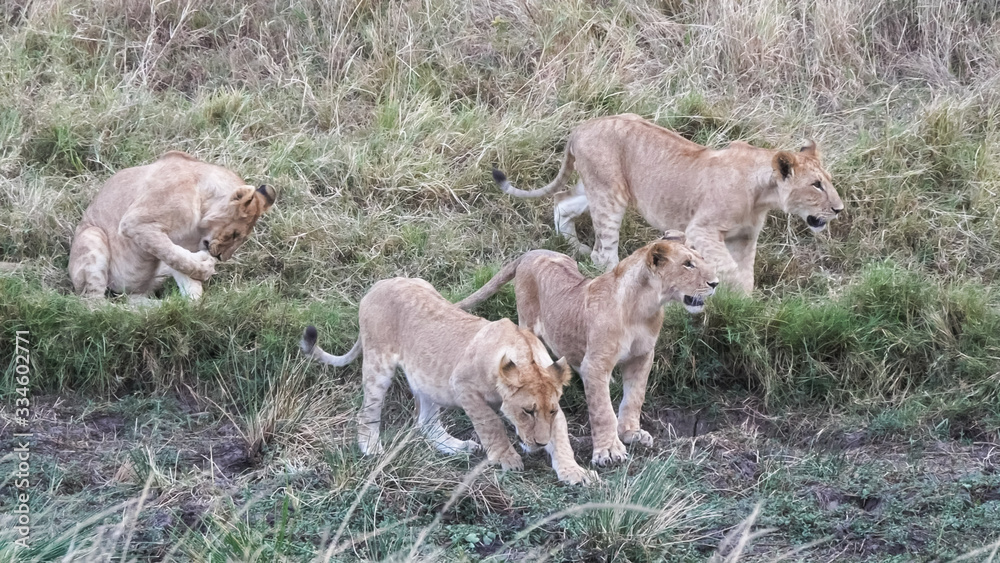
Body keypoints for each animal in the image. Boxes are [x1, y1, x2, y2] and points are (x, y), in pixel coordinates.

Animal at [68, 151, 275, 300]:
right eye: (234, 235)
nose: (221, 258)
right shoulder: (135, 223)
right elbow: (176, 256)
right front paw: (206, 268)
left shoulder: (181, 245)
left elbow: (182, 263)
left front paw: (193, 304)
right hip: (92, 235)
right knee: (93, 304)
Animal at [300, 277, 597, 485]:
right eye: (527, 411)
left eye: (551, 411)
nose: (539, 444)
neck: (524, 353)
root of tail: (379, 284)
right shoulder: (463, 386)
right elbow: (491, 425)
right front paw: (507, 458)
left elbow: (562, 439)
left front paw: (575, 472)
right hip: (378, 363)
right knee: (367, 412)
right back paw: (371, 448)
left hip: (425, 378)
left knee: (426, 424)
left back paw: (458, 446)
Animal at [456, 233, 719, 466]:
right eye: (688, 264)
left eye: (702, 259)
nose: (715, 283)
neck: (643, 308)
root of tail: (532, 252)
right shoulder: (597, 363)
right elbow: (602, 410)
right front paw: (609, 451)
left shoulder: (642, 356)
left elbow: (635, 397)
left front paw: (631, 433)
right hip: (527, 322)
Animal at [493, 113, 844, 292]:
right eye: (816, 185)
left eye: (827, 180)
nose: (839, 209)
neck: (762, 195)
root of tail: (580, 127)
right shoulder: (701, 229)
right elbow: (728, 269)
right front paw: (727, 297)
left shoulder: (745, 238)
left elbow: (745, 274)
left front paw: (745, 308)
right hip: (610, 195)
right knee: (602, 254)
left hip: (594, 187)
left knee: (562, 201)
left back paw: (572, 246)